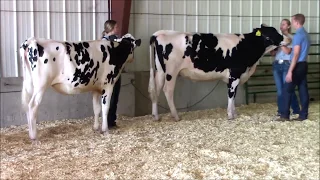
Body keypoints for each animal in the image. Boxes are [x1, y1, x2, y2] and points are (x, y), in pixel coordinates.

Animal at [149, 24, 286, 121]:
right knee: (167, 90)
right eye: (270, 34)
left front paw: (234, 113)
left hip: (160, 71)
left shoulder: (234, 77)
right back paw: (176, 116)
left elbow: (234, 95)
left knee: (156, 90)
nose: (286, 38)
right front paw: (230, 115)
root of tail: (159, 33)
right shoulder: (234, 74)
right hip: (171, 72)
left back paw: (156, 117)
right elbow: (231, 95)